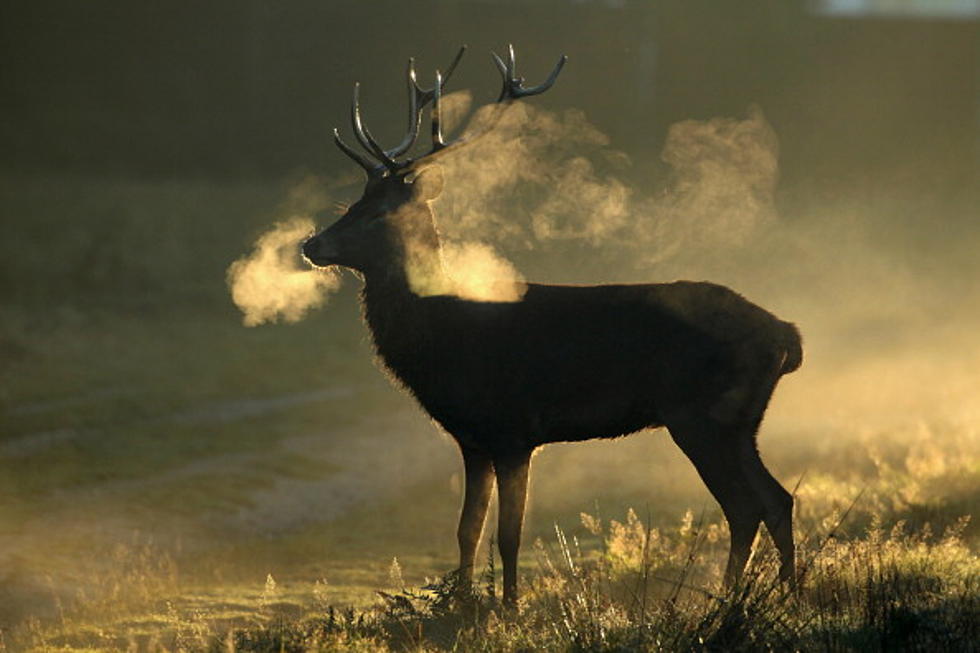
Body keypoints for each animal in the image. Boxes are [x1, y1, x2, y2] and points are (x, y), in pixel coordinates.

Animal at [302, 44, 800, 608]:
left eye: (377, 214)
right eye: (350, 204)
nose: (311, 244)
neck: (444, 336)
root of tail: (787, 335)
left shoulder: (513, 428)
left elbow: (509, 532)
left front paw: (509, 607)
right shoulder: (473, 437)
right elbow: (466, 528)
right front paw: (463, 604)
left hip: (700, 413)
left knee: (745, 506)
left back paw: (732, 603)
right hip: (740, 421)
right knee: (776, 500)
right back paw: (782, 598)